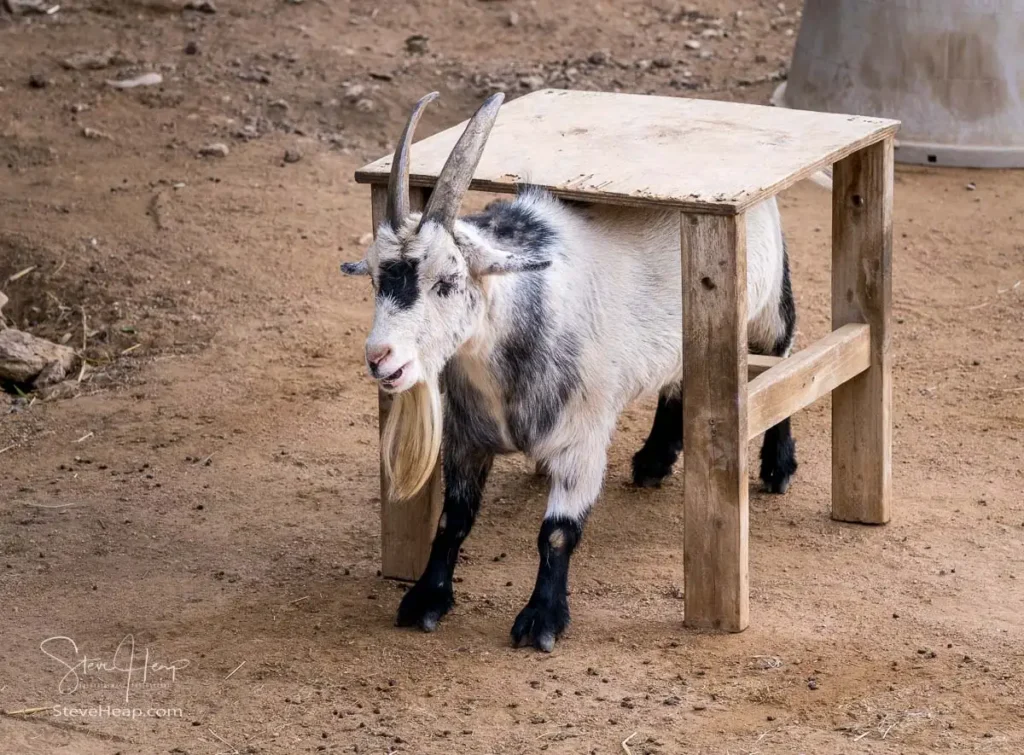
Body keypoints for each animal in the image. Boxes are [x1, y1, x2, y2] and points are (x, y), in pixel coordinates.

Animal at [342, 92, 803, 652]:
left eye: (448, 282)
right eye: (374, 280)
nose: (380, 357)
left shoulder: (582, 437)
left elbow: (557, 531)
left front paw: (541, 620)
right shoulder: (466, 436)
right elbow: (453, 519)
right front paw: (425, 600)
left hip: (766, 302)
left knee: (780, 357)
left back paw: (777, 466)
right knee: (678, 377)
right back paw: (654, 459)